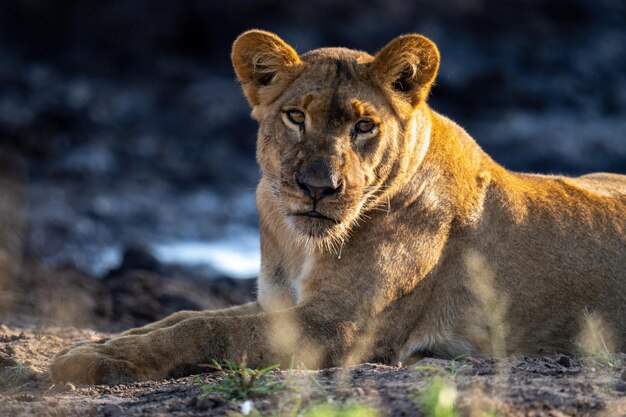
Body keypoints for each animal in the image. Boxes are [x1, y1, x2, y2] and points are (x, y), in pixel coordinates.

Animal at [50, 30, 624, 384]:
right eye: (295, 117)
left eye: (364, 126)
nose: (317, 187)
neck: (299, 241)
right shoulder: (281, 303)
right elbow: (188, 314)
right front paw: (102, 345)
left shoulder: (340, 327)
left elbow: (210, 331)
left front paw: (93, 361)